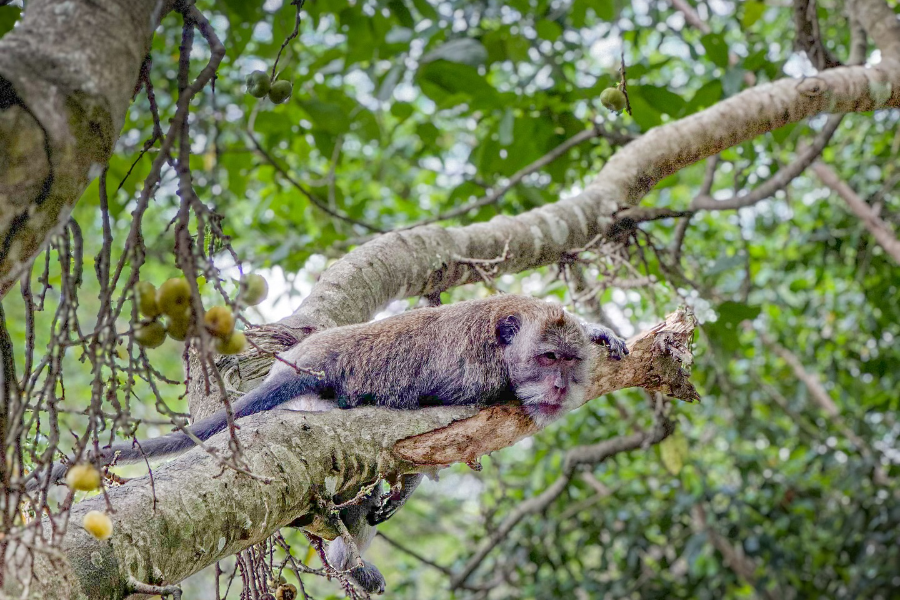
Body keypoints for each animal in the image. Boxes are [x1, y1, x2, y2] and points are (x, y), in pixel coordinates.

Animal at [29, 292, 632, 592]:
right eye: (547, 358)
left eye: (569, 360)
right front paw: (411, 482)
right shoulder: (474, 379)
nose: (560, 386)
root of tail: (310, 361)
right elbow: (433, 432)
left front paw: (600, 331)